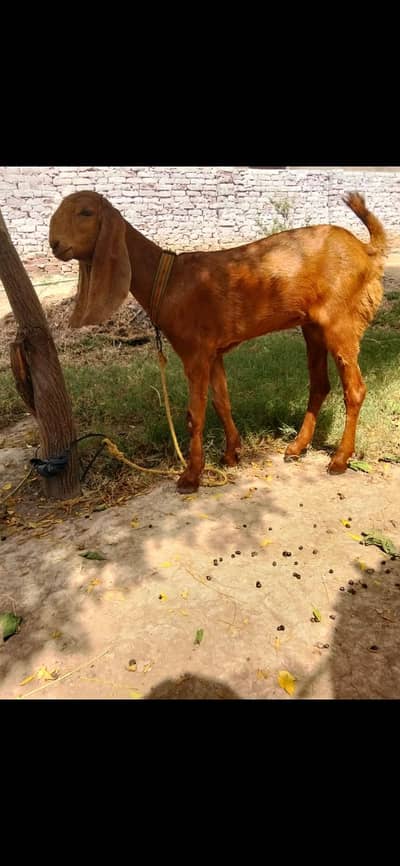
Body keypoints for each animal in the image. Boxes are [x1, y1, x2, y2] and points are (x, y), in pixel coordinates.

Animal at [49, 191, 387, 494]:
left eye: (85, 212)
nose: (55, 244)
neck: (168, 279)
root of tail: (365, 250)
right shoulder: (213, 352)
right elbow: (221, 401)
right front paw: (231, 454)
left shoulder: (194, 353)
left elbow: (194, 414)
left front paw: (191, 476)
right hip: (313, 326)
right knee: (319, 385)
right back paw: (296, 447)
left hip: (340, 321)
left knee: (355, 389)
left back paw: (339, 460)